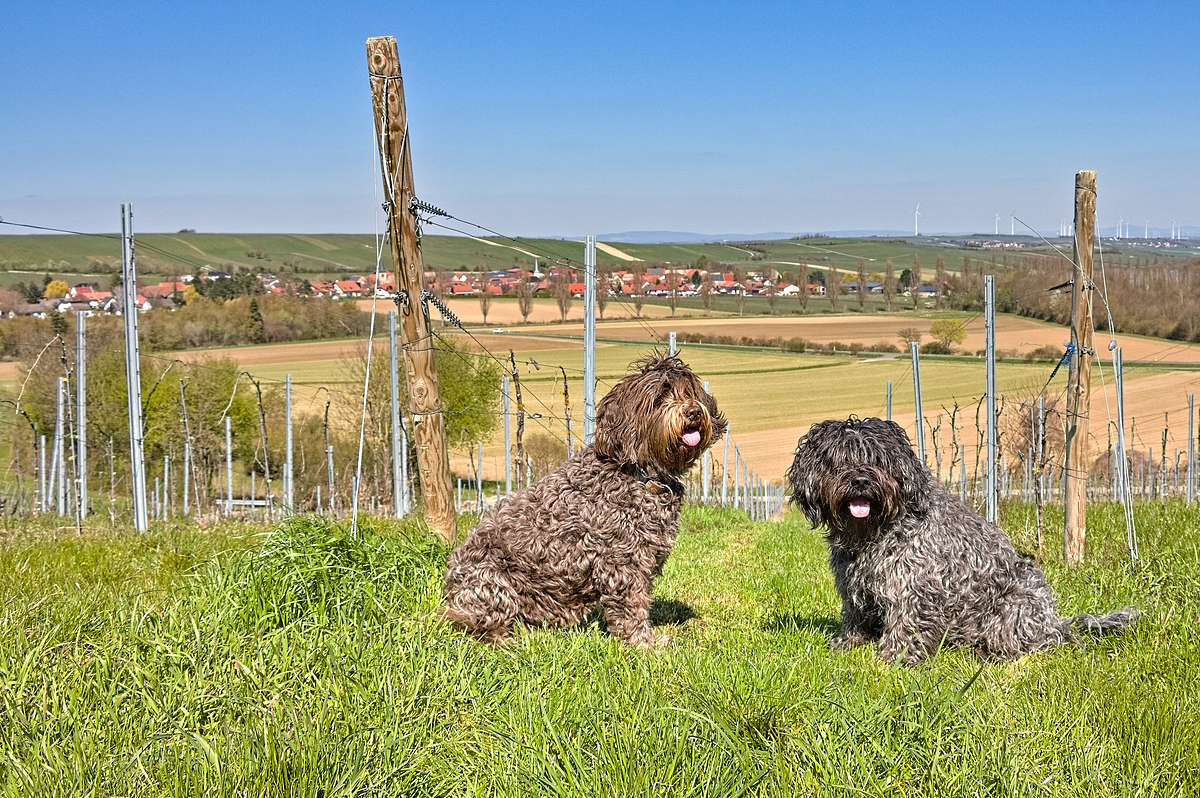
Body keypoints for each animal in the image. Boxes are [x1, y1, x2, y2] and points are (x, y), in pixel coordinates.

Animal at [441, 355, 720, 648]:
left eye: (689, 392)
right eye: (659, 398)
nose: (693, 412)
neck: (639, 473)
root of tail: (451, 592)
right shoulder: (623, 563)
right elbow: (632, 609)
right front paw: (644, 644)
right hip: (493, 583)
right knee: (483, 627)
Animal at [782, 412, 1137, 662]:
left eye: (877, 459)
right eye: (837, 459)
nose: (860, 480)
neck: (877, 529)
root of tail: (1056, 621)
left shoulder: (913, 585)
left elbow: (906, 624)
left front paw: (896, 658)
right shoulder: (854, 587)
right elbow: (855, 616)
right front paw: (848, 643)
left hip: (1015, 605)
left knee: (1039, 643)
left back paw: (990, 653)